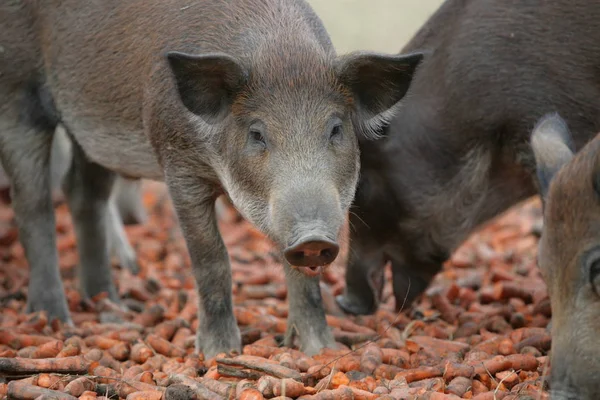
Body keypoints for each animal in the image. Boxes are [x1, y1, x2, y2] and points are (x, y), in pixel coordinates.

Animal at [0, 0, 422, 356]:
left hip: (91, 135)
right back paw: (52, 317)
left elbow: (301, 274)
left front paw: (320, 351)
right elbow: (211, 257)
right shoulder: (178, 166)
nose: (314, 238)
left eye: (335, 128)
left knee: (82, 192)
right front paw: (219, 354)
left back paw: (110, 303)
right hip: (18, 90)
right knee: (34, 203)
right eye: (256, 133)